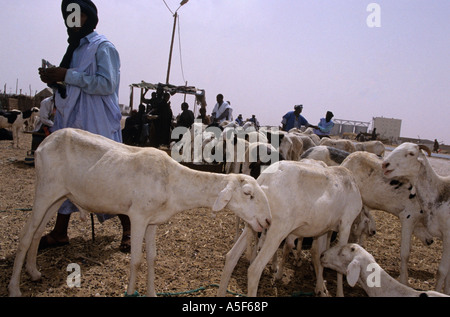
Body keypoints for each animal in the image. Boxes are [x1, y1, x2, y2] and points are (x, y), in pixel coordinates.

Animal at [8, 127, 272, 296]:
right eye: (248, 193)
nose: (267, 220)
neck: (173, 181)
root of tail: (44, 142)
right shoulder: (138, 216)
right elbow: (135, 260)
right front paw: (130, 291)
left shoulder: (152, 222)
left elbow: (152, 258)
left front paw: (152, 293)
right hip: (45, 188)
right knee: (25, 235)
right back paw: (15, 288)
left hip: (59, 194)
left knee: (37, 231)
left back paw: (33, 272)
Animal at [218, 160, 362, 296]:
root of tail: (264, 180)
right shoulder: (346, 224)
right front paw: (339, 293)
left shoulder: (323, 229)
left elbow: (318, 254)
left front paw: (320, 289)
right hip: (277, 230)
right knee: (254, 270)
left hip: (254, 223)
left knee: (231, 257)